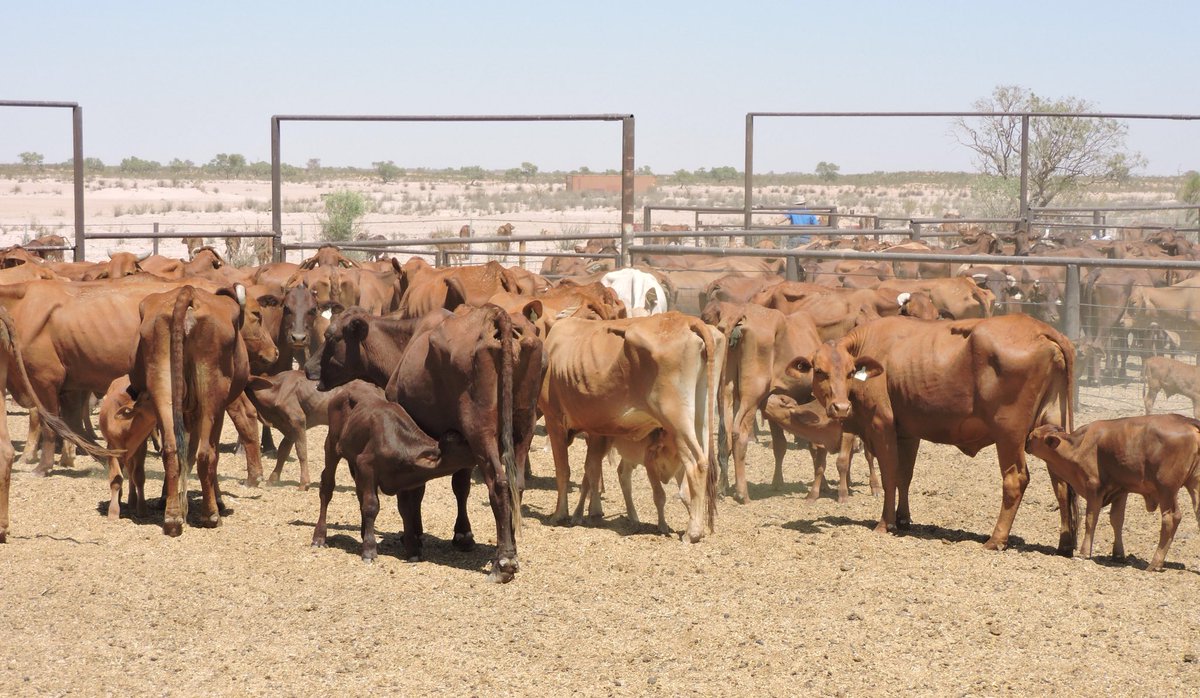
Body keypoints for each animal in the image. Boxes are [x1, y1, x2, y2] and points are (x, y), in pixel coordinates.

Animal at [539, 313, 723, 542]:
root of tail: (686, 319)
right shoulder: (598, 429)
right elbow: (592, 468)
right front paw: (592, 513)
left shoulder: (554, 419)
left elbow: (564, 469)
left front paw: (560, 514)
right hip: (702, 417)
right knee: (704, 462)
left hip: (677, 420)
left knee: (697, 464)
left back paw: (693, 532)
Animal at [803, 314, 1078, 554]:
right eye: (819, 371)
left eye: (851, 372)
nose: (840, 407)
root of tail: (1040, 329)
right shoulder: (907, 433)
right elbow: (904, 476)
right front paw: (903, 519)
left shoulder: (881, 425)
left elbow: (890, 474)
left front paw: (885, 523)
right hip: (1050, 426)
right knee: (1061, 481)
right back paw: (1065, 544)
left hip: (1008, 434)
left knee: (1015, 480)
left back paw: (995, 539)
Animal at [1026, 415, 1200, 572]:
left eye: (1034, 435)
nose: (1026, 442)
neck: (1079, 446)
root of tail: (1187, 421)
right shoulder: (1121, 490)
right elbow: (1116, 520)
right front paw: (1118, 554)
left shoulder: (1094, 488)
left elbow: (1091, 519)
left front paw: (1084, 552)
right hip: (1191, 486)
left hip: (1166, 490)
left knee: (1170, 519)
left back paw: (1155, 563)